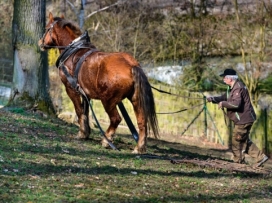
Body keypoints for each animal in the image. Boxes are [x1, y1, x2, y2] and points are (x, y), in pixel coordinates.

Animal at [37, 12, 158, 154]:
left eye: (46, 28)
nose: (40, 43)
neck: (73, 50)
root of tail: (132, 65)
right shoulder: (85, 94)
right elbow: (85, 112)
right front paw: (86, 132)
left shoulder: (71, 89)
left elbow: (79, 111)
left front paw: (82, 133)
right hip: (135, 99)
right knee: (142, 122)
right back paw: (139, 148)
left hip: (108, 101)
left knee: (116, 119)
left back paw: (107, 140)